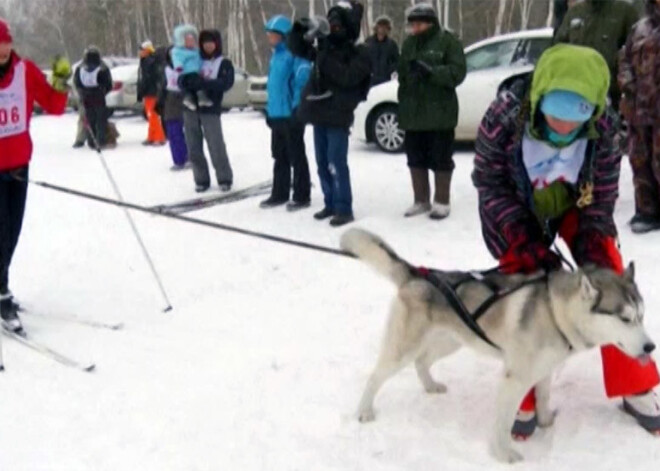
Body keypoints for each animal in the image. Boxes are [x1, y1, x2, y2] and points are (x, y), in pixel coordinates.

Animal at [340, 229, 656, 464]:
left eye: (642, 316)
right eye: (625, 318)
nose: (650, 347)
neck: (554, 312)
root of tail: (417, 274)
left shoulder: (543, 371)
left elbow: (542, 399)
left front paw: (545, 423)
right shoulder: (515, 379)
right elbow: (504, 422)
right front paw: (504, 454)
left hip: (451, 341)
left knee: (422, 362)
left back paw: (430, 385)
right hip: (404, 347)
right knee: (376, 375)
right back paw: (364, 411)